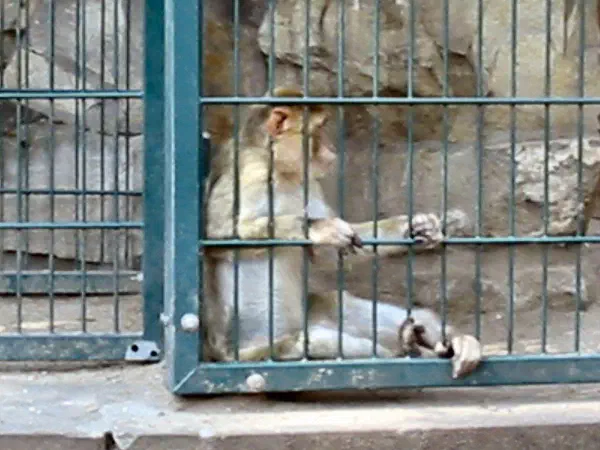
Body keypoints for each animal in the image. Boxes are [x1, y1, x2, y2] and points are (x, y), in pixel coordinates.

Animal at [202, 87, 482, 379]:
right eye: (320, 129)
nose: (331, 151)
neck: (280, 171)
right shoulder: (249, 174)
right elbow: (217, 237)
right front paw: (322, 228)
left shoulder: (307, 183)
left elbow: (330, 255)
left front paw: (416, 226)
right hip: (259, 352)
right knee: (312, 342)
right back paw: (407, 347)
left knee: (338, 306)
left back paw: (446, 342)